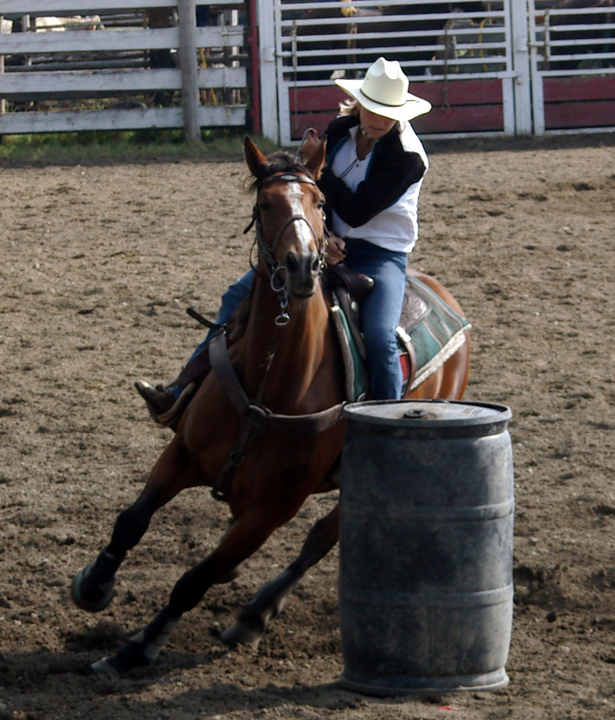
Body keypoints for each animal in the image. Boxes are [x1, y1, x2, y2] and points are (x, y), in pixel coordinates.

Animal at [70, 136, 470, 676]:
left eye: (320, 203)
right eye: (264, 205)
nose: (301, 265)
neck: (272, 381)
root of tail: (445, 297)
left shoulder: (269, 512)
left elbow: (194, 581)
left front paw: (136, 648)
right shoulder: (182, 455)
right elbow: (131, 521)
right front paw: (94, 584)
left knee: (321, 537)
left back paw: (254, 616)